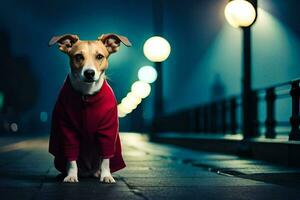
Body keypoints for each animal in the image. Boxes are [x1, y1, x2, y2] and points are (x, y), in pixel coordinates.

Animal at [48, 33, 131, 183]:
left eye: (99, 56)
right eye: (78, 56)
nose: (89, 73)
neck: (86, 94)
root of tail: (88, 172)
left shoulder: (107, 130)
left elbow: (106, 157)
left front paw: (106, 176)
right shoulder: (67, 129)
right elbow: (71, 157)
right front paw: (71, 175)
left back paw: (99, 173)